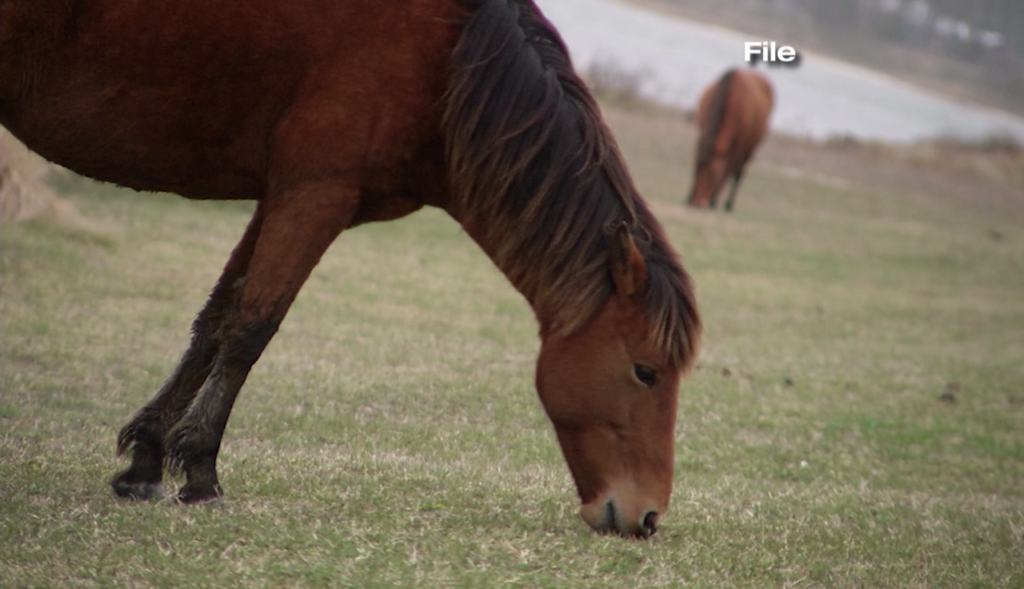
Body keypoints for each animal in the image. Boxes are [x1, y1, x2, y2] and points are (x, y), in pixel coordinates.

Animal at [0, 0, 704, 540]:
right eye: (645, 371)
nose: (646, 518)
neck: (445, 60)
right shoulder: (318, 194)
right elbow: (251, 330)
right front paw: (199, 471)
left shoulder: (282, 195)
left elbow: (215, 322)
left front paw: (146, 459)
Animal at [688, 69, 774, 212]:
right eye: (696, 168)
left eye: (713, 174)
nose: (696, 203)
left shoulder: (738, 147)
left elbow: (727, 173)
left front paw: (714, 201)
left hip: (750, 149)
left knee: (739, 174)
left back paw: (728, 204)